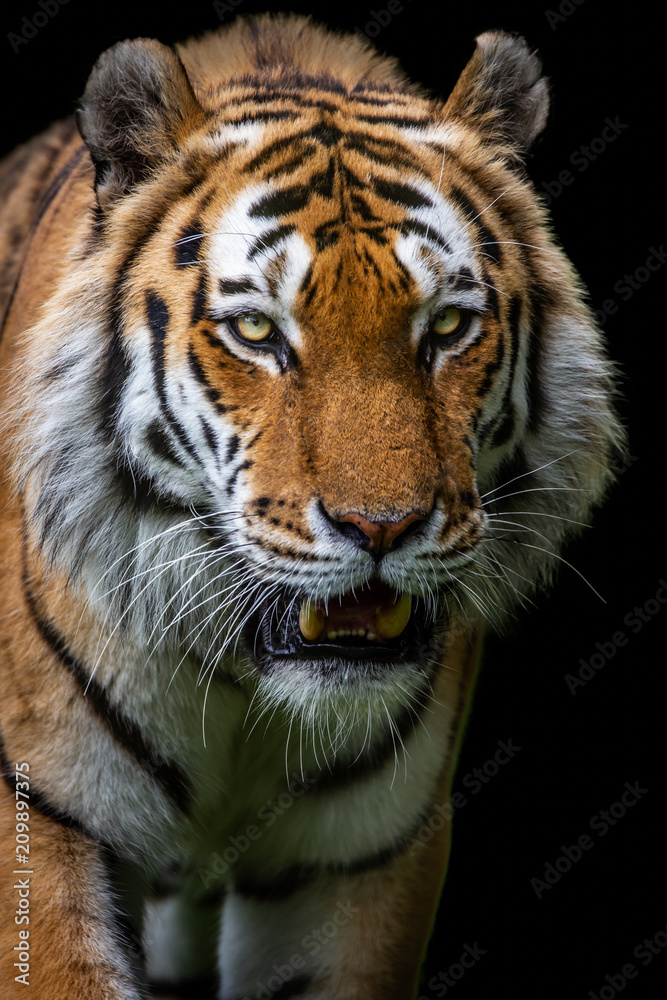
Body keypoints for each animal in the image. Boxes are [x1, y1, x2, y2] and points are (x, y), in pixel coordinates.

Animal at [0, 12, 625, 1000]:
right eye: (258, 331)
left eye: (448, 327)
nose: (382, 528)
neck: (246, 684)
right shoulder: (43, 815)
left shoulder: (361, 859)